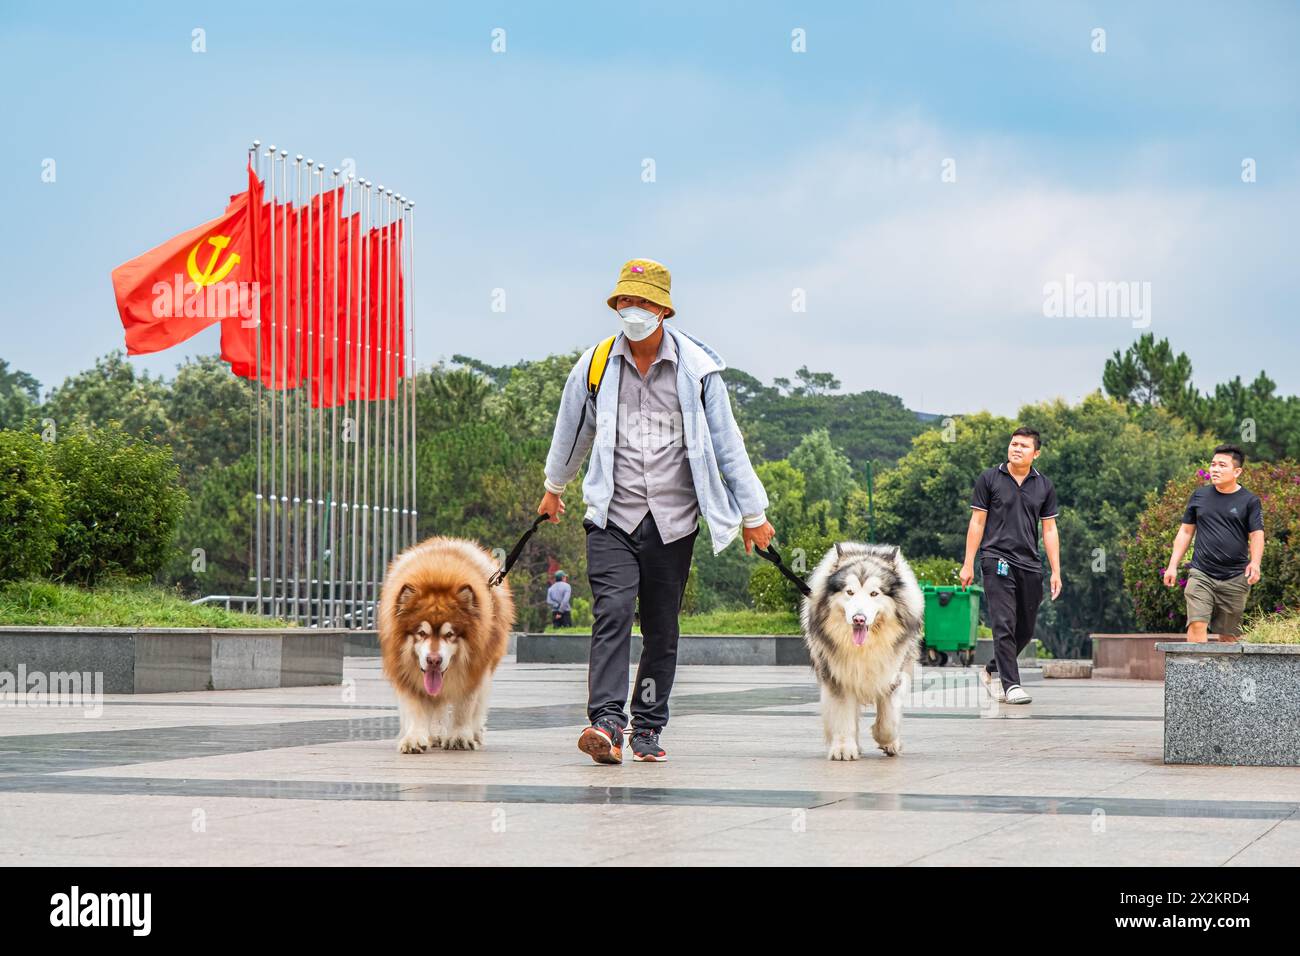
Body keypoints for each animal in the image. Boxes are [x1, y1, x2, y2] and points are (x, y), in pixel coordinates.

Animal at [377, 538, 512, 754]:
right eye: (421, 633)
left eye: (449, 634)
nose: (434, 660)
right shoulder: (404, 670)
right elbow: (414, 707)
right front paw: (414, 739)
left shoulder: (473, 670)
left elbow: (464, 708)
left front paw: (459, 737)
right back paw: (435, 735)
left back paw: (473, 733)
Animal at [795, 546, 930, 764]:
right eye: (849, 592)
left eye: (874, 593)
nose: (859, 619)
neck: (864, 648)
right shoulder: (837, 675)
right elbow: (842, 714)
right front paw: (843, 748)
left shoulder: (893, 674)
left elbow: (888, 720)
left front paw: (885, 740)